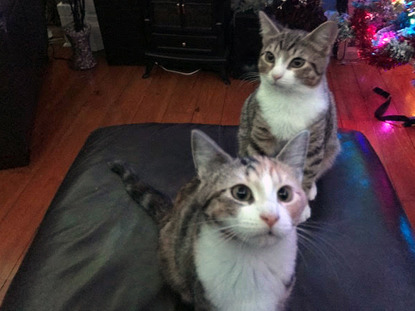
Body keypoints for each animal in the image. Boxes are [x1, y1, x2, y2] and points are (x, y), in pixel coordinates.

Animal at [109, 129, 310, 311]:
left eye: (284, 194)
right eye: (241, 192)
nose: (271, 217)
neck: (253, 258)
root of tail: (171, 213)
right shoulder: (203, 296)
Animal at [237, 11, 342, 222]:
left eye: (297, 62)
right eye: (270, 56)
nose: (276, 75)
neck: (288, 99)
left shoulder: (314, 139)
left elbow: (307, 172)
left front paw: (302, 205)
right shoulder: (261, 132)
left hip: (332, 144)